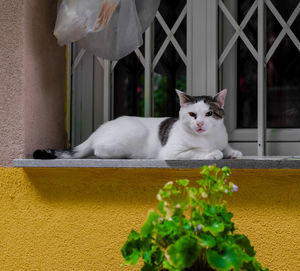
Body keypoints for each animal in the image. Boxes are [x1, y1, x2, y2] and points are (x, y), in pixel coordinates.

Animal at [34, 89, 243, 160]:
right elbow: (195, 152)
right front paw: (212, 153)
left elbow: (226, 147)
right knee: (99, 151)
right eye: (192, 114)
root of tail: (98, 129)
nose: (199, 123)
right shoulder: (172, 152)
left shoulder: (221, 138)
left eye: (209, 114)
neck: (208, 138)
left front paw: (233, 152)